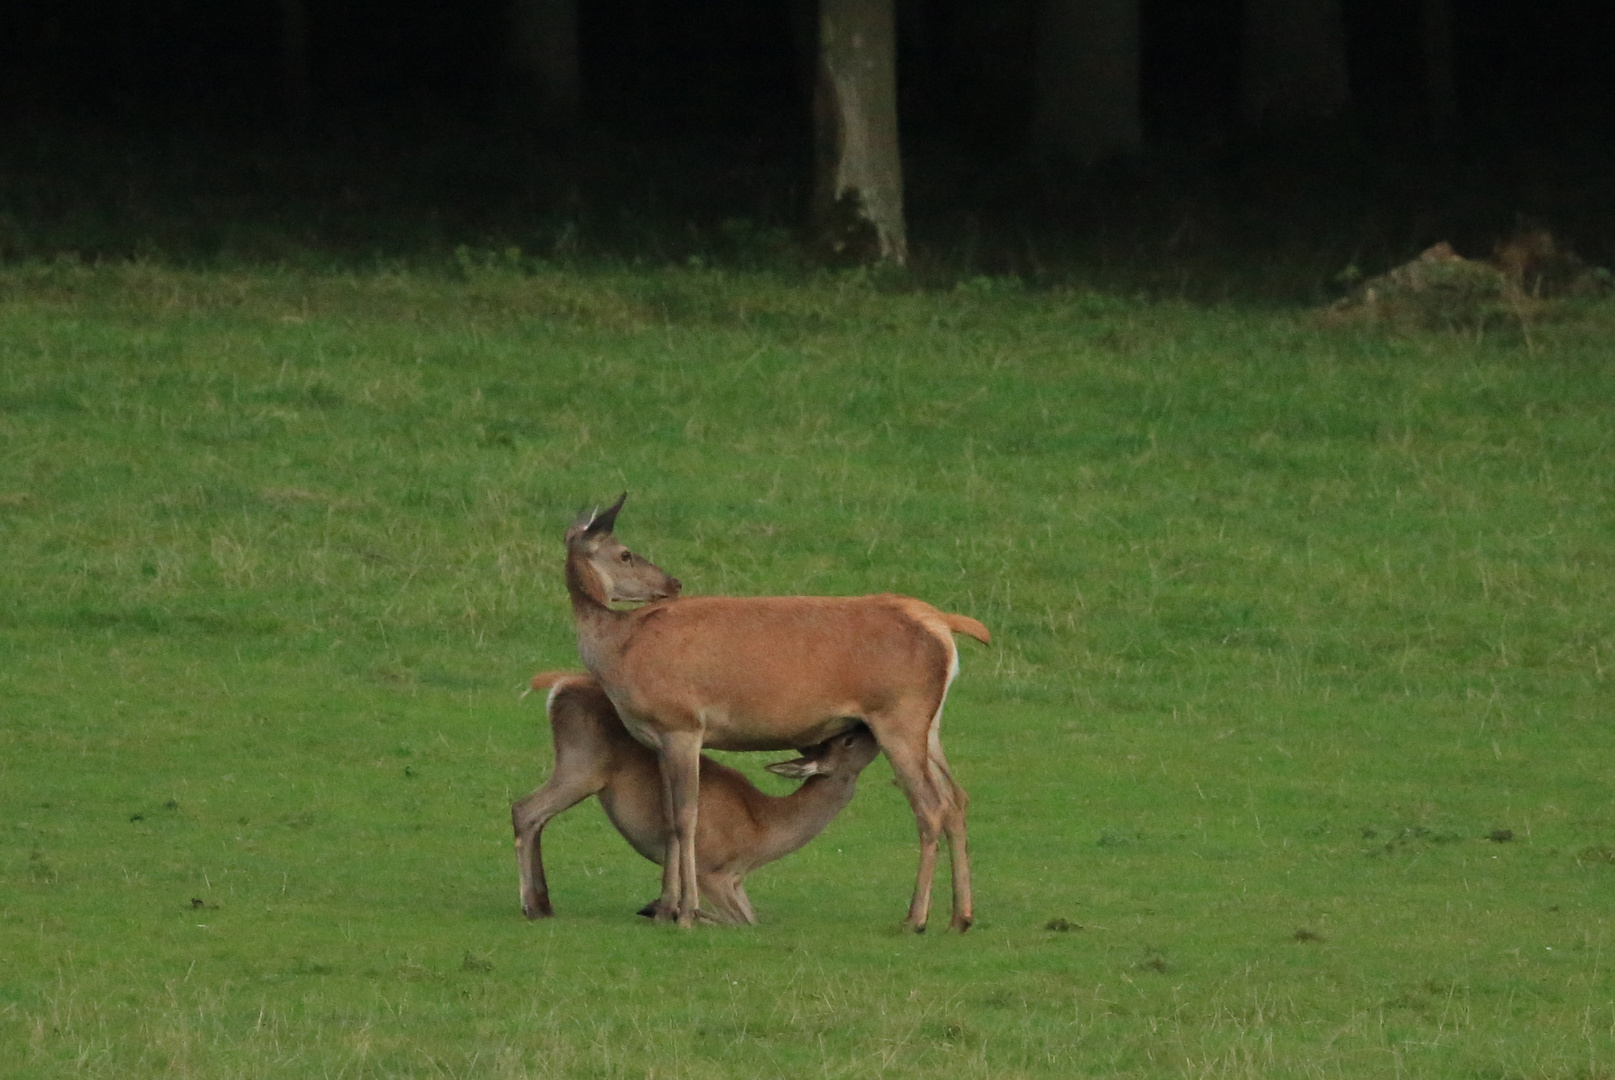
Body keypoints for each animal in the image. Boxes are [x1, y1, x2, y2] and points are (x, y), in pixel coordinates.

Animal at [513, 668, 885, 923]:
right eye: (848, 740)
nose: (866, 724)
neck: (761, 834)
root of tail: (559, 684)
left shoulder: (736, 881)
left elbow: (751, 918)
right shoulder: (711, 870)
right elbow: (743, 923)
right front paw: (671, 912)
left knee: (535, 816)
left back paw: (543, 902)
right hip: (583, 764)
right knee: (525, 808)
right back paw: (532, 905)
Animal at [565, 493, 981, 929]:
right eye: (625, 554)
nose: (672, 583)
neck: (619, 652)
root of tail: (940, 625)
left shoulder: (682, 724)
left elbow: (686, 818)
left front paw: (687, 912)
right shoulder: (658, 738)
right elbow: (668, 818)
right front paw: (665, 908)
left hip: (898, 715)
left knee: (930, 806)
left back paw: (915, 919)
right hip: (928, 726)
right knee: (957, 798)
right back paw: (960, 917)